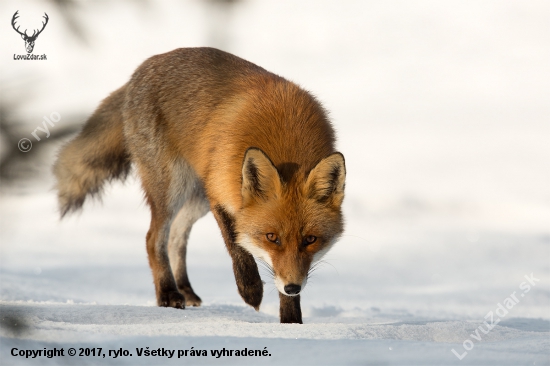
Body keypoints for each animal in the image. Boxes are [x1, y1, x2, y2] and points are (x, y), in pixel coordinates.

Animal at [55, 48, 344, 324]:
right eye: (272, 237)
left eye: (310, 239)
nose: (293, 287)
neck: (286, 140)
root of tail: (144, 66)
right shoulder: (220, 195)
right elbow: (238, 248)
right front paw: (251, 291)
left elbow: (276, 277)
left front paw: (291, 323)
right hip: (173, 188)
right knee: (153, 239)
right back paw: (168, 293)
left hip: (196, 196)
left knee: (175, 237)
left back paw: (184, 289)